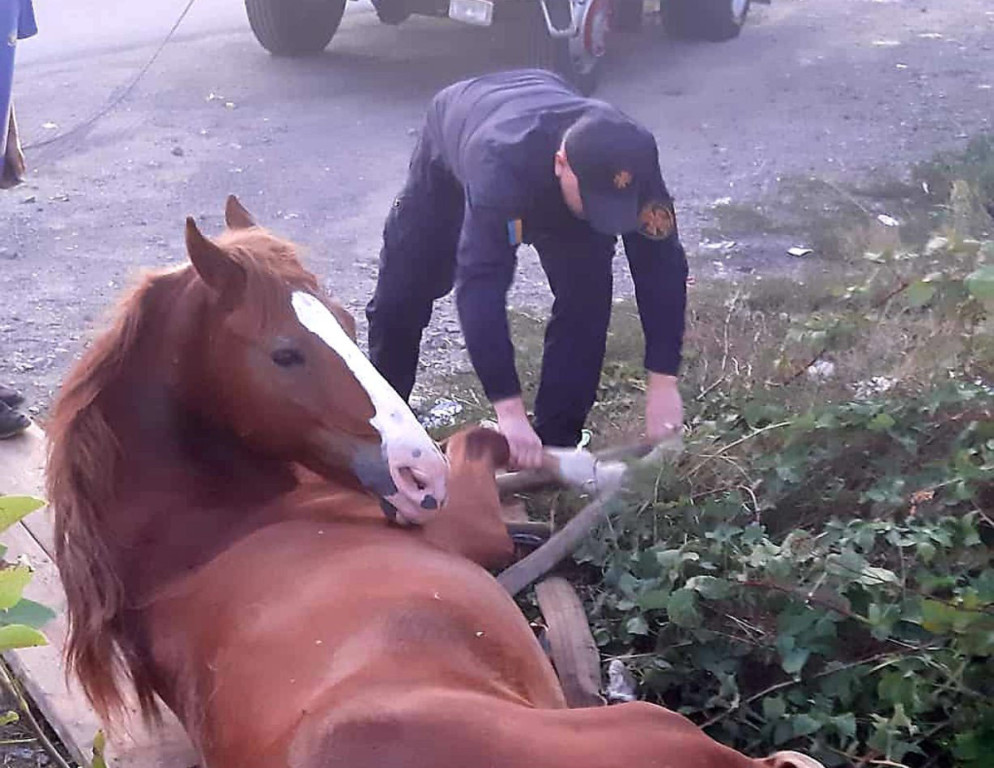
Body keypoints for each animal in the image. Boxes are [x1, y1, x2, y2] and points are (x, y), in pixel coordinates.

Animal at [46, 198, 820, 768]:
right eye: (285, 353)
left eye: (349, 321)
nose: (418, 475)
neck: (207, 535)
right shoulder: (467, 526)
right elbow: (485, 442)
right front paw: (603, 464)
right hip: (655, 726)